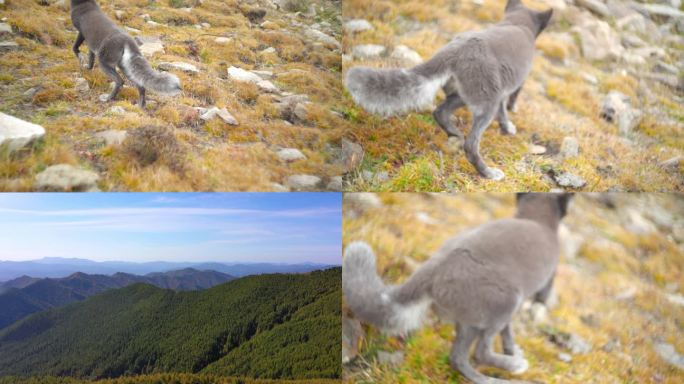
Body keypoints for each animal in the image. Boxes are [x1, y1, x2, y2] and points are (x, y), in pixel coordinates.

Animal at [342, 194, 572, 382]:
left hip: (468, 321)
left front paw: (512, 349)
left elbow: (508, 333)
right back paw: (512, 369)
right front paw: (514, 354)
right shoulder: (537, 288)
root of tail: (433, 269)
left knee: (457, 358)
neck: (536, 219)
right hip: (505, 303)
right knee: (480, 352)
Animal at [344, 0, 552, 181]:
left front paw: (505, 125)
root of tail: (455, 50)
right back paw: (488, 173)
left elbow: (502, 111)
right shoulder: (516, 84)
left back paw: (454, 135)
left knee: (440, 112)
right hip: (486, 101)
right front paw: (509, 122)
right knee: (470, 144)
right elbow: (509, 104)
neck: (517, 23)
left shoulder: (502, 89)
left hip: (463, 94)